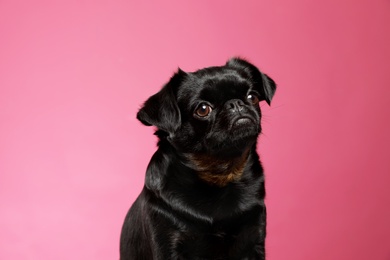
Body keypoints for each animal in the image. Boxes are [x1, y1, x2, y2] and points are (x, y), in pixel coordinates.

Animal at [120, 58, 276, 258]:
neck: (220, 175)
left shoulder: (255, 240)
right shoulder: (168, 245)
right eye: (202, 109)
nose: (235, 103)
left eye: (252, 97)